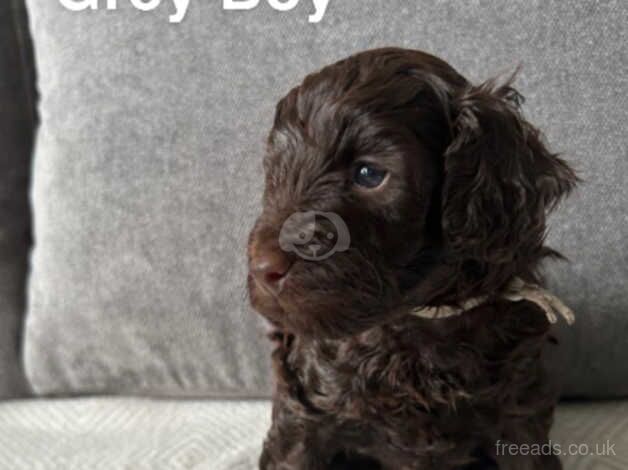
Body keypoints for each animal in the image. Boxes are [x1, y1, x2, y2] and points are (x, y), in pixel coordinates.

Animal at [247, 48, 580, 470]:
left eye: (369, 174)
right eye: (276, 172)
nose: (262, 267)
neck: (414, 322)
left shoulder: (518, 410)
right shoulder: (307, 412)